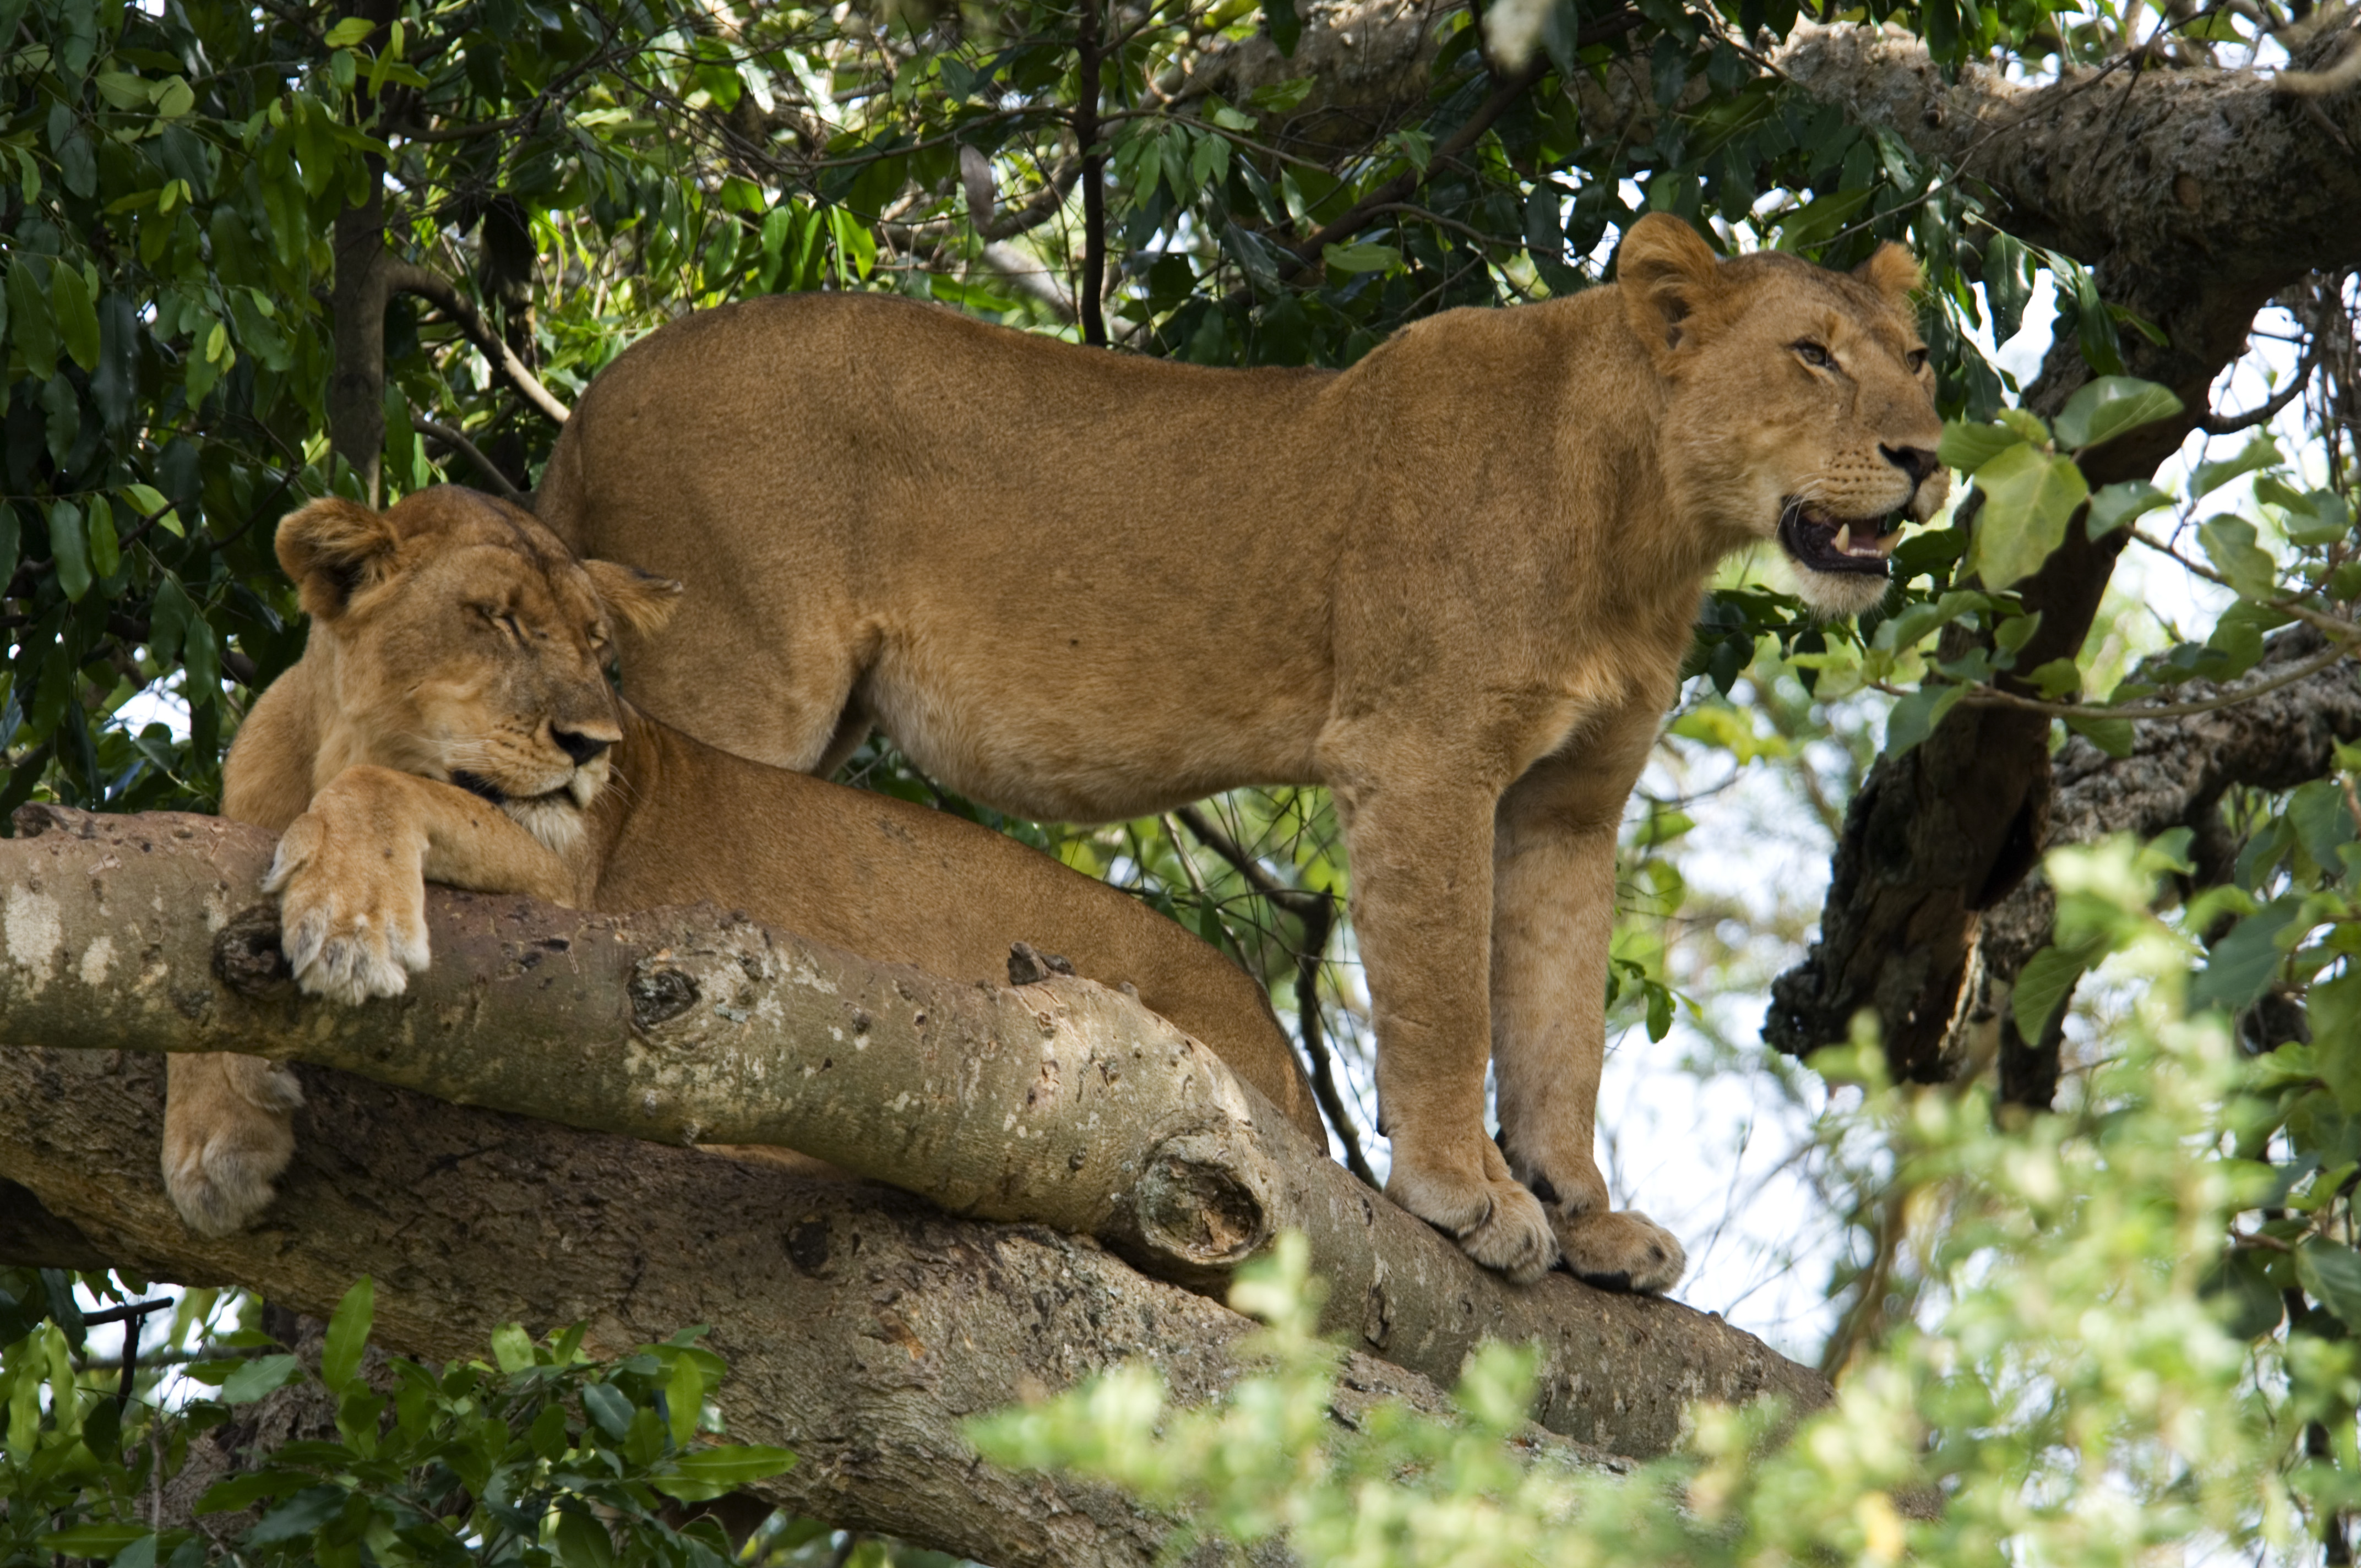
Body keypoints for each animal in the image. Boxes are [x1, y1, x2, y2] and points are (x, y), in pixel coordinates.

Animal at [163, 486, 1324, 1237]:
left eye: (600, 651)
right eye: (495, 620)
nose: (594, 746)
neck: (331, 738)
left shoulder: (562, 880)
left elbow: (385, 793)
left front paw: (351, 925)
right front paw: (216, 1142)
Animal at [533, 213, 1949, 1291]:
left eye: (1916, 357)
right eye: (1810, 355)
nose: (1924, 456)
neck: (1644, 521)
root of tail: (595, 397)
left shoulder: (1568, 800)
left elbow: (1559, 1022)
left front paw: (1586, 1212)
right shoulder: (1420, 755)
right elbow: (1446, 999)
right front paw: (1465, 1191)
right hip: (735, 672)